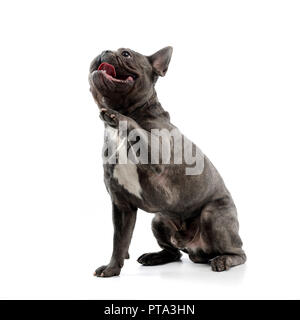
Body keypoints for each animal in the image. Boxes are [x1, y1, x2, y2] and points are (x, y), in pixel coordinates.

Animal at [88, 46, 245, 276]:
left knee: (239, 252)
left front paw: (115, 115)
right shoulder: (122, 205)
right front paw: (112, 268)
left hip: (213, 216)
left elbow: (133, 125)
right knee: (174, 253)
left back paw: (223, 260)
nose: (104, 50)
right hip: (159, 219)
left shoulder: (156, 153)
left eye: (126, 54)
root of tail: (197, 250)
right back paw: (155, 256)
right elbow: (119, 240)